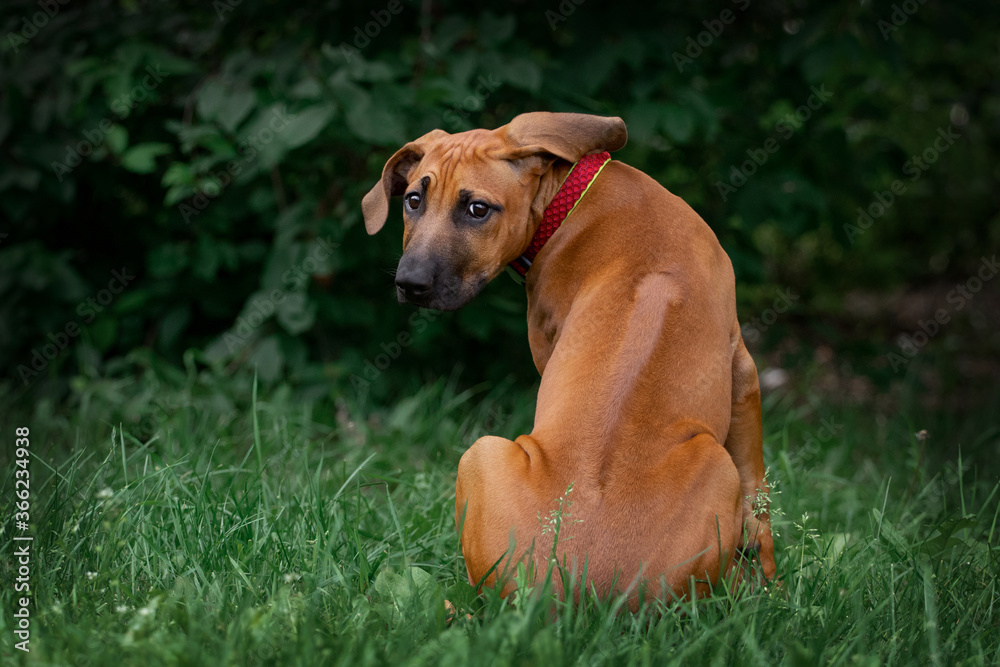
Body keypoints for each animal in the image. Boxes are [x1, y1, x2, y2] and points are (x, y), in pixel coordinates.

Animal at [364, 111, 776, 604]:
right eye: (413, 200)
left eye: (478, 209)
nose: (409, 284)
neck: (571, 199)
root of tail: (582, 594)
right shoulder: (742, 366)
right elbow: (758, 490)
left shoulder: (742, 369)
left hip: (480, 453)